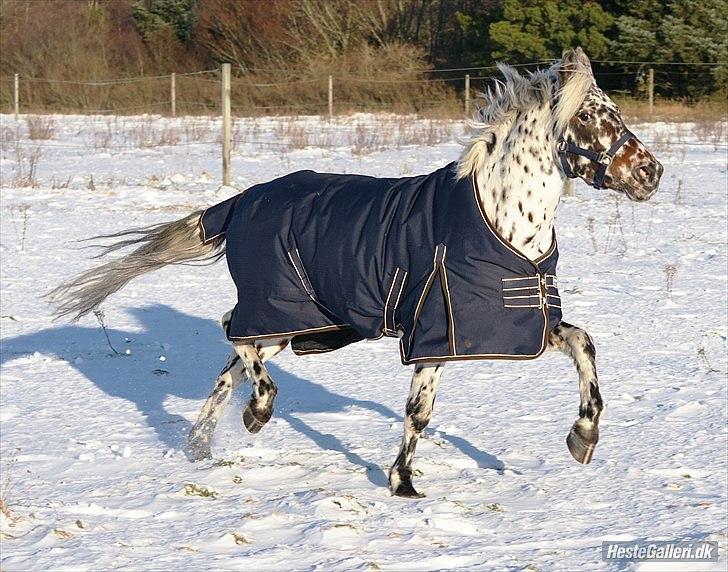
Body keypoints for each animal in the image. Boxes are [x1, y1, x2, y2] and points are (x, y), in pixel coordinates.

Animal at [49, 48, 664, 496]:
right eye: (589, 116)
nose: (651, 172)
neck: (501, 219)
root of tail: (241, 201)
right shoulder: (433, 332)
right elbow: (419, 412)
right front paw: (403, 484)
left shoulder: (514, 323)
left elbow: (584, 344)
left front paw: (583, 436)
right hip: (278, 310)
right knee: (234, 338)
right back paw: (257, 413)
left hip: (294, 323)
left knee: (231, 363)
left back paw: (201, 444)